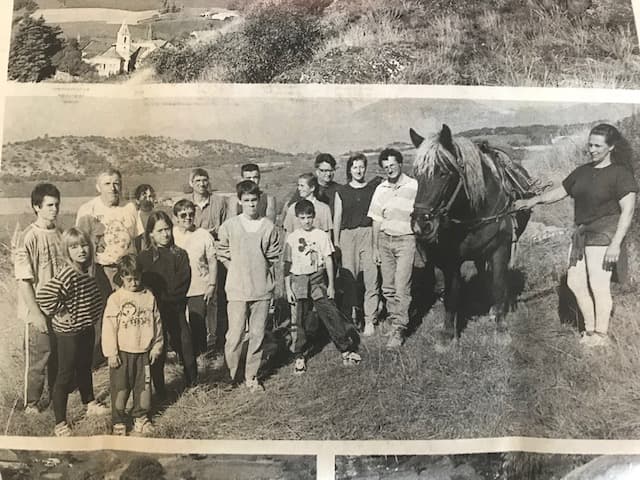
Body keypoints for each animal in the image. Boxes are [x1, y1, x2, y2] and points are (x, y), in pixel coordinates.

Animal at [412, 124, 532, 342]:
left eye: (443, 173)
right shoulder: (451, 260)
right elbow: (452, 293)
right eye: (416, 175)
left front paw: (500, 327)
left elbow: (498, 284)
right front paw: (447, 334)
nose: (420, 225)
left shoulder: (500, 249)